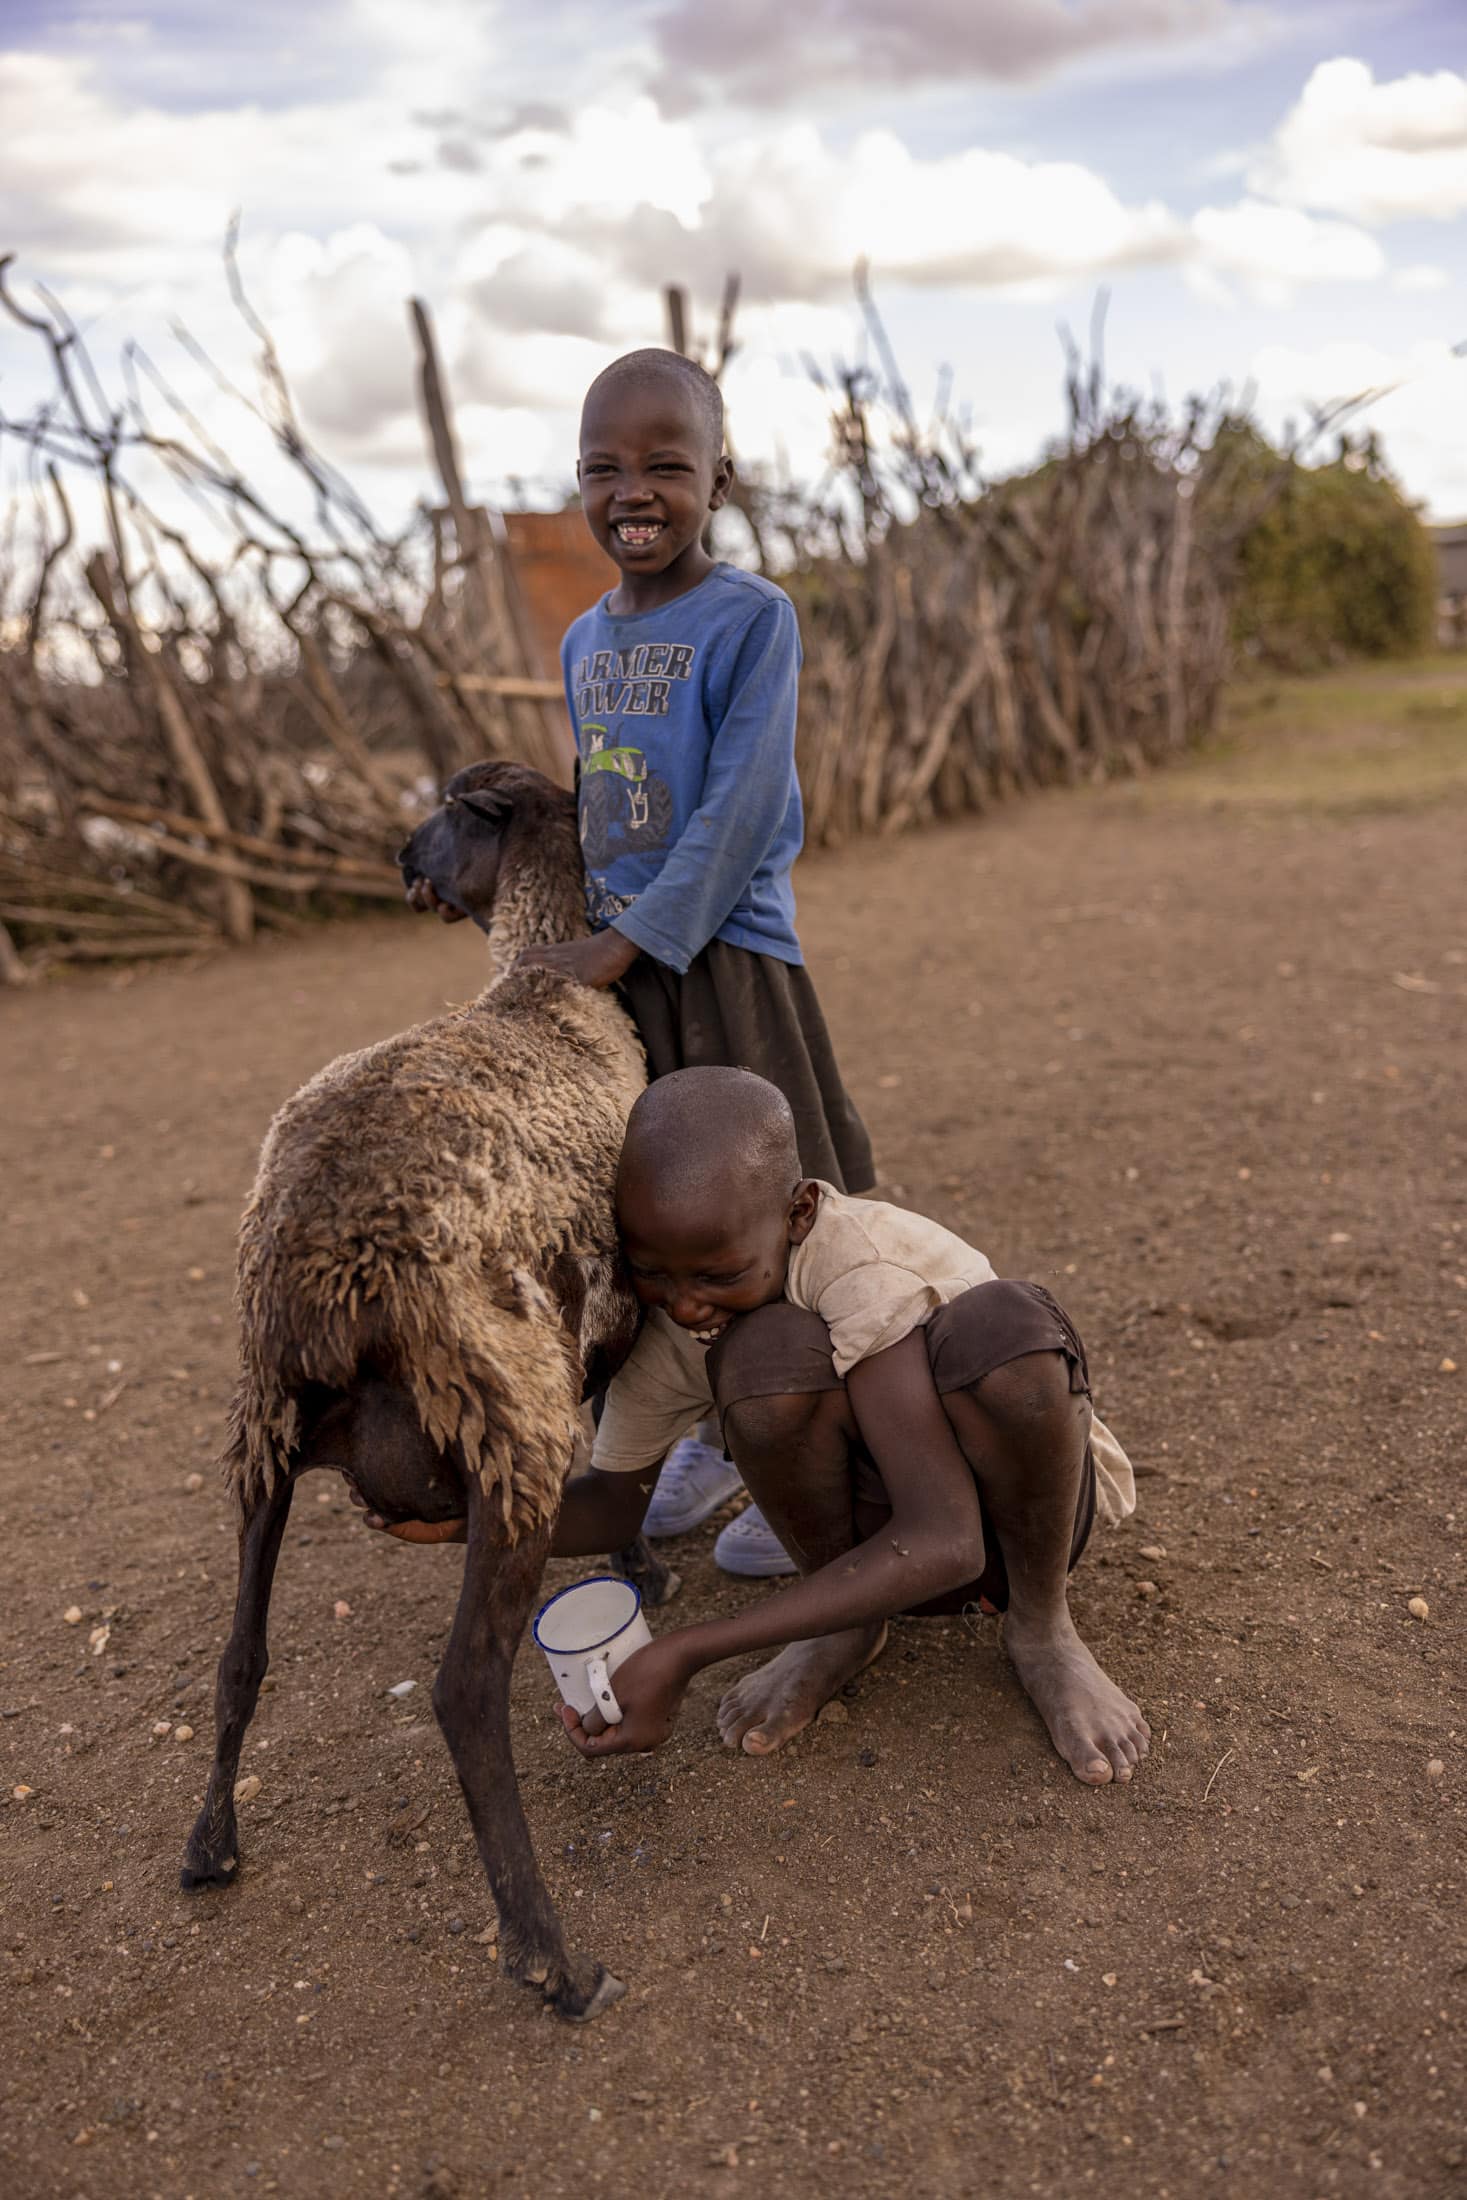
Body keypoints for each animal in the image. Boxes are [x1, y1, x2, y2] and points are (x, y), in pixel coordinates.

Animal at [179, 761, 655, 2024]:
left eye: (443, 812)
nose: (399, 861)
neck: (538, 981)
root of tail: (315, 1273)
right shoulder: (607, 1325)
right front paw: (644, 1563)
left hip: (263, 1437)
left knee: (238, 1657)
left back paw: (209, 1845)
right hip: (508, 1419)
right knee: (463, 1691)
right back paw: (551, 1958)